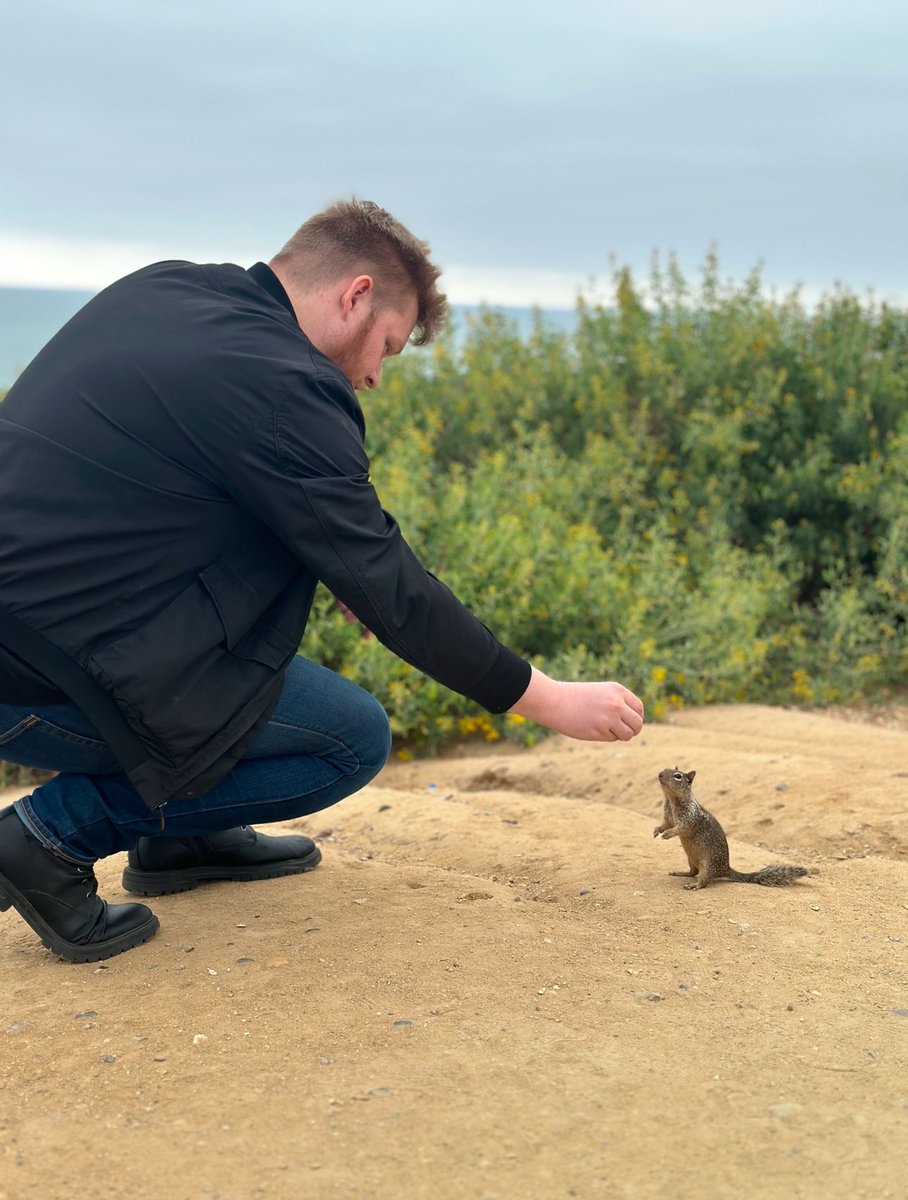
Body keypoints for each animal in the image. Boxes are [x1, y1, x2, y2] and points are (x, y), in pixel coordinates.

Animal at [654, 767, 809, 890]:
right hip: (691, 859)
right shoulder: (669, 817)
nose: (660, 774)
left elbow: (681, 828)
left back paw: (694, 885)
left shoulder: (690, 818)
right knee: (693, 872)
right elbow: (666, 824)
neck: (671, 800)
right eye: (665, 768)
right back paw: (680, 872)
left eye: (678, 776)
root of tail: (726, 869)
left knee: (704, 879)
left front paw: (668, 834)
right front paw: (657, 830)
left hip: (708, 864)